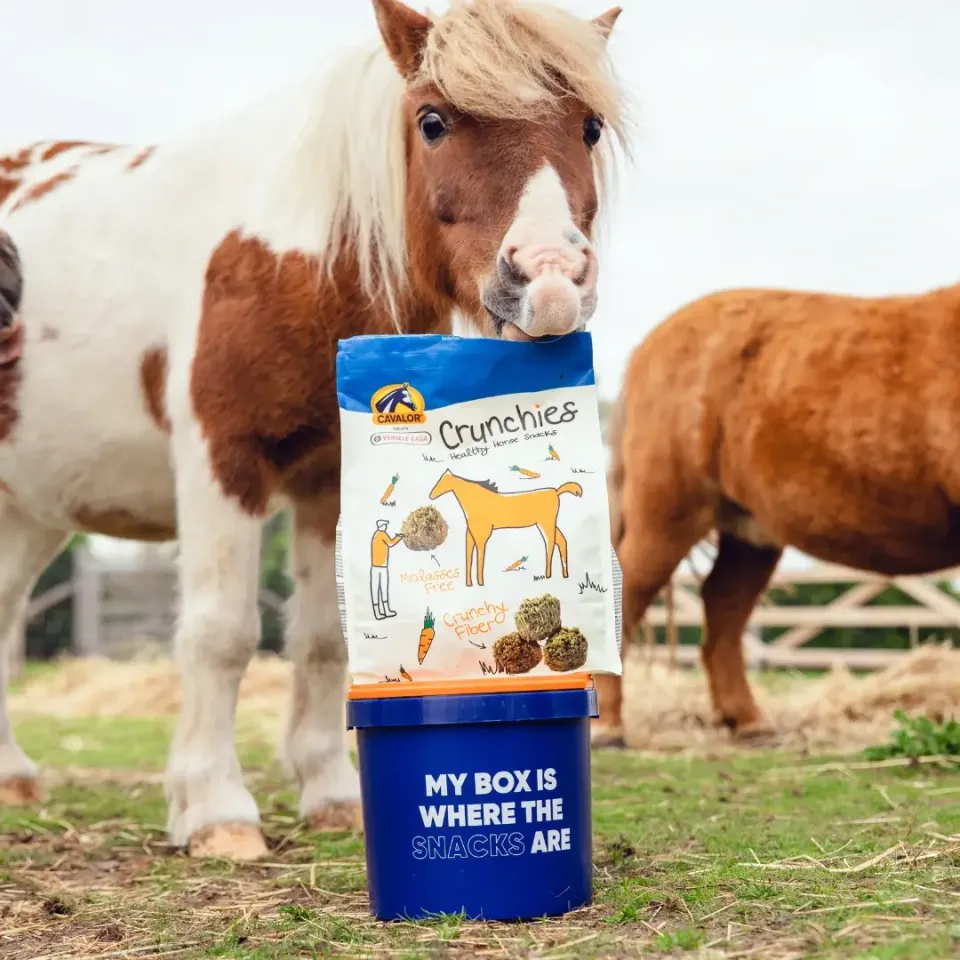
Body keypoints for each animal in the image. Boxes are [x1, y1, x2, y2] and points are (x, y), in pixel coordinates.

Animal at [429, 469, 582, 586]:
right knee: (561, 541)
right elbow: (469, 557)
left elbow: (480, 557)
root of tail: (555, 492)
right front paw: (469, 584)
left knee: (550, 543)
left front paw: (480, 583)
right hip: (548, 523)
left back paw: (548, 574)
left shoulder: (482, 535)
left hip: (546, 523)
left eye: (442, 481)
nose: (430, 495)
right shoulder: (470, 535)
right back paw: (563, 574)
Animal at [592, 279, 960, 748]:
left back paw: (749, 722)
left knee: (724, 606)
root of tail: (649, 346)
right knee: (629, 599)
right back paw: (609, 728)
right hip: (667, 513)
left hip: (750, 529)